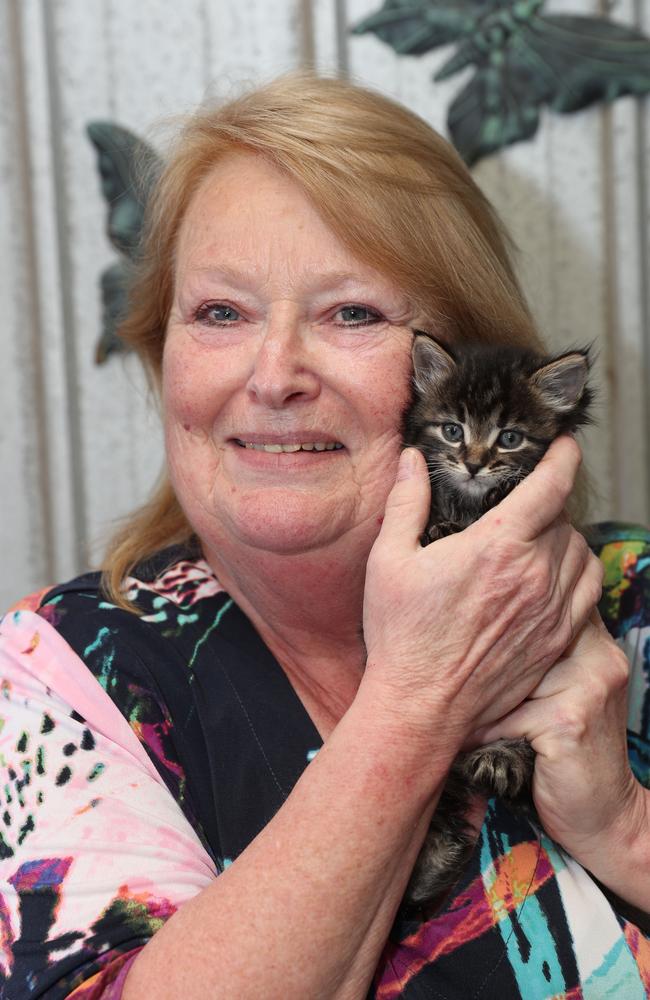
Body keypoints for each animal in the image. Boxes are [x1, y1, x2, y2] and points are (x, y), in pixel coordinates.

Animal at [400, 332, 592, 912]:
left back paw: (500, 758)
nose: (474, 463)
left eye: (509, 438)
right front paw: (440, 529)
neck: (470, 504)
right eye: (452, 430)